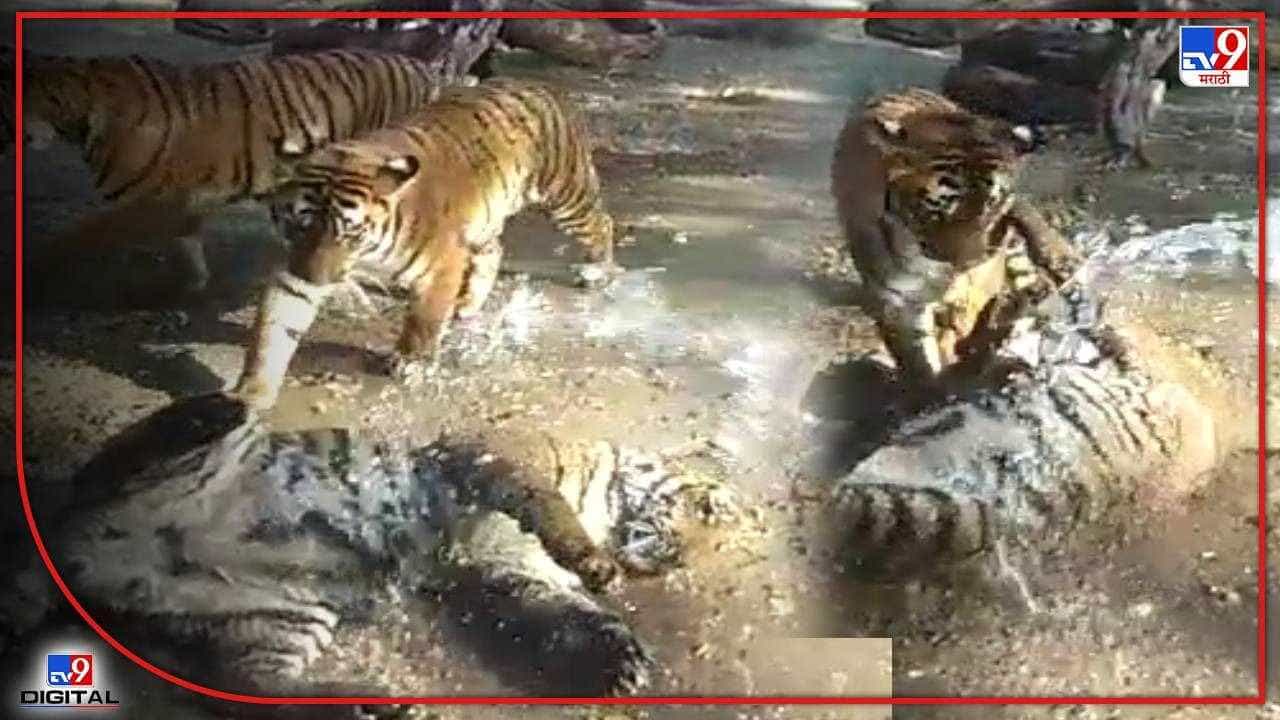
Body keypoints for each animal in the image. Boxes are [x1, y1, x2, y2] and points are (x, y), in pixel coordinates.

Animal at [0, 393, 655, 715]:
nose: (664, 555)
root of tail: (68, 544)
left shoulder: (509, 570)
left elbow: (563, 612)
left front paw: (618, 661)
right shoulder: (493, 464)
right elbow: (551, 510)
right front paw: (594, 560)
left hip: (275, 617)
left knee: (246, 691)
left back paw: (369, 706)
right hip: (167, 471)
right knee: (128, 452)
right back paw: (217, 406)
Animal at [19, 45, 483, 303]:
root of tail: (425, 69)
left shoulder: (143, 206)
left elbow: (70, 239)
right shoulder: (179, 204)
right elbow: (187, 245)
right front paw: (190, 286)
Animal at [234, 78, 617, 409]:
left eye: (351, 234)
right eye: (300, 225)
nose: (316, 279)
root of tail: (541, 86)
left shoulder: (440, 265)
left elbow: (424, 319)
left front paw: (411, 362)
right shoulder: (295, 270)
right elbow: (271, 332)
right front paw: (250, 393)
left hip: (565, 195)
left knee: (602, 223)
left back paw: (598, 270)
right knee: (494, 250)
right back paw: (468, 303)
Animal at [830, 87, 1082, 389]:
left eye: (990, 205)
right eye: (939, 207)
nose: (970, 262)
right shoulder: (897, 301)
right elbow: (917, 357)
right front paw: (933, 386)